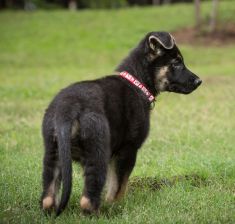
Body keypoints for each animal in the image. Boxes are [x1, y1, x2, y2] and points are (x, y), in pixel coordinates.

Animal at [40, 31, 202, 215]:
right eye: (176, 63)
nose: (199, 81)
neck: (138, 83)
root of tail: (69, 108)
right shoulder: (127, 150)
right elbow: (118, 186)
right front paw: (117, 206)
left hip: (53, 152)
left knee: (48, 198)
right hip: (98, 151)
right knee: (87, 199)